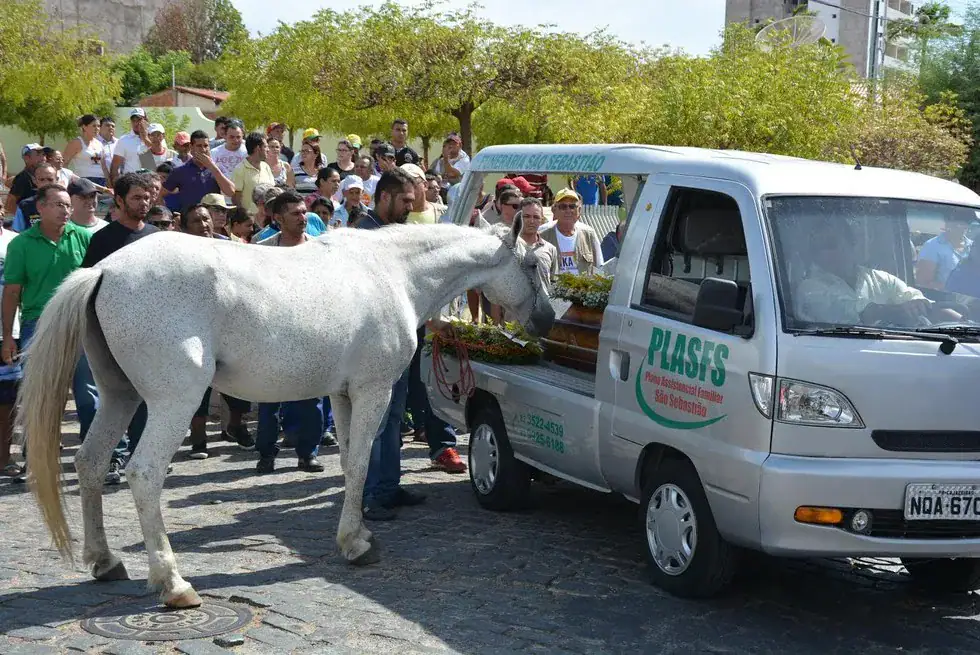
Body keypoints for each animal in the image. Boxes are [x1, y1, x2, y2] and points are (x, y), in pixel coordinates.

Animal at [21, 216, 554, 609]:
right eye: (531, 264)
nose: (548, 319)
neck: (392, 273)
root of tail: (104, 271)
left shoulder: (341, 395)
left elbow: (349, 465)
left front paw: (355, 534)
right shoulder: (373, 390)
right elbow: (362, 461)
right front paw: (357, 545)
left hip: (120, 397)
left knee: (90, 464)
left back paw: (104, 561)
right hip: (173, 403)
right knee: (144, 474)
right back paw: (173, 583)